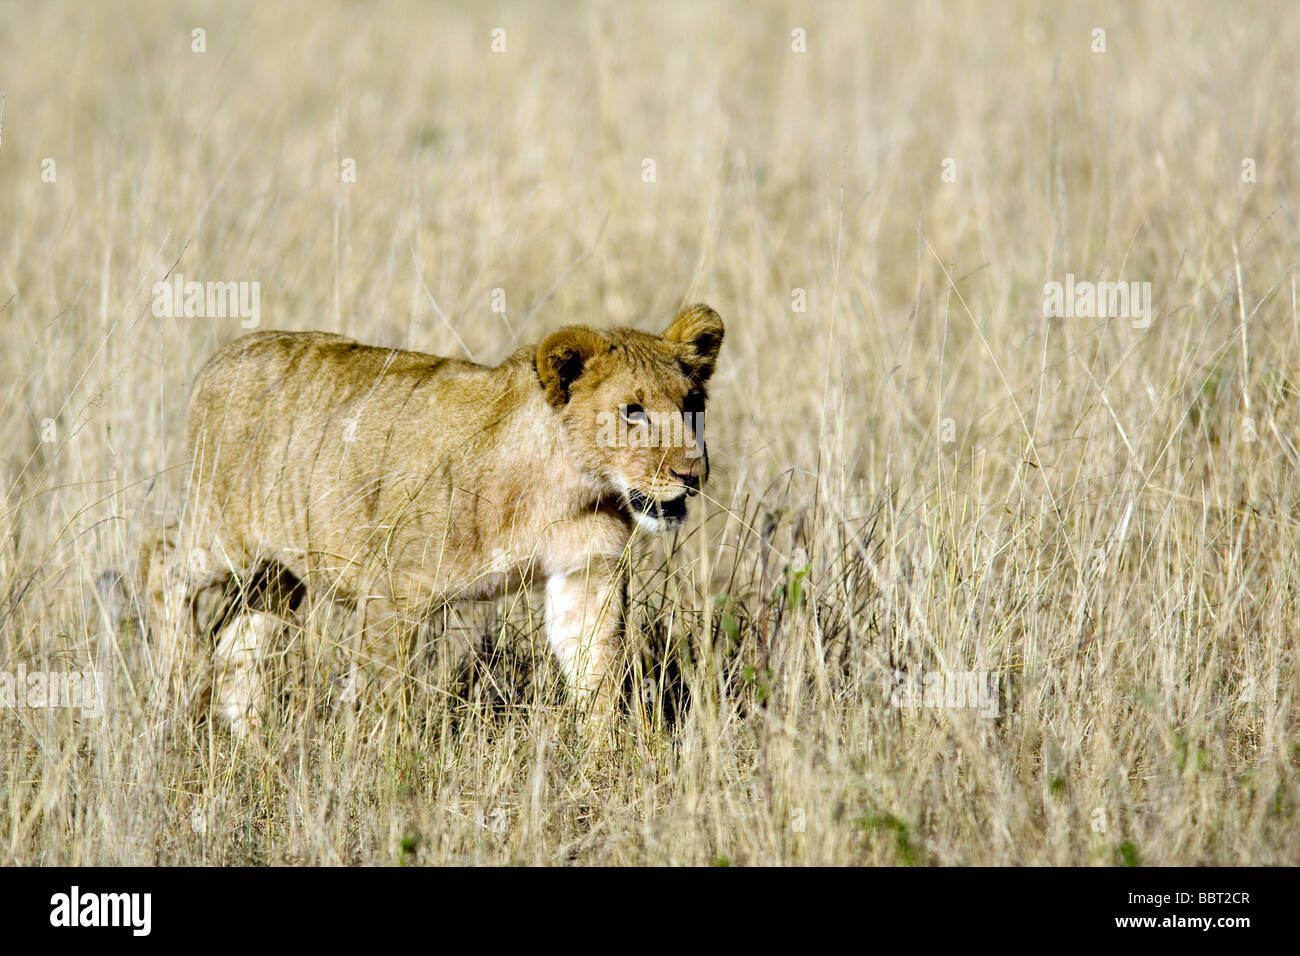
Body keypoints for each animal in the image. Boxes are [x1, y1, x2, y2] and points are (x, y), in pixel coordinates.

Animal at [146, 304, 724, 735]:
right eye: (633, 411)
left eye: (692, 404)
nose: (693, 473)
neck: (564, 485)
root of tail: (224, 355)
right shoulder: (391, 586)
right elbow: (380, 690)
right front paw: (382, 770)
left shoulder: (587, 572)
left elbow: (596, 671)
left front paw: (605, 757)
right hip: (225, 537)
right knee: (160, 556)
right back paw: (178, 670)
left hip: (277, 571)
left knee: (242, 636)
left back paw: (248, 733)